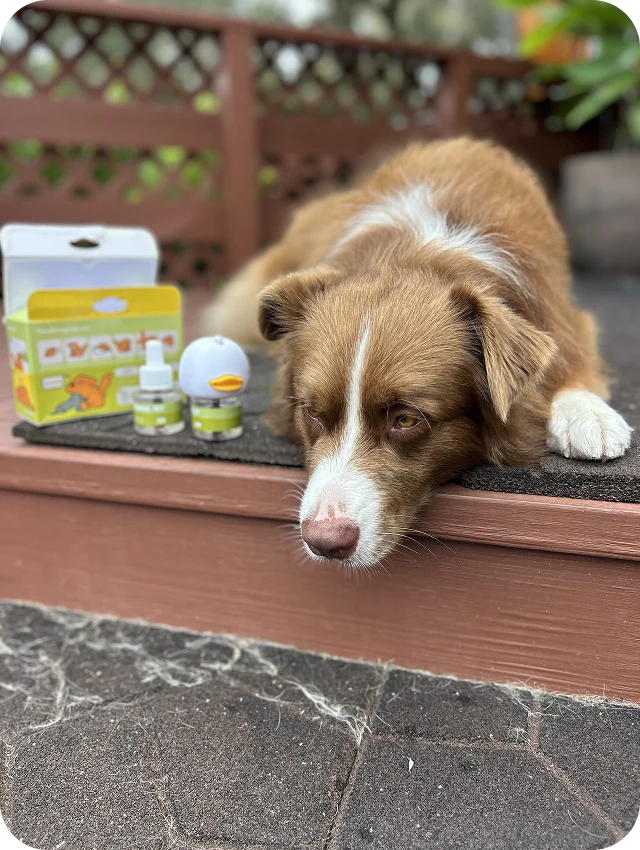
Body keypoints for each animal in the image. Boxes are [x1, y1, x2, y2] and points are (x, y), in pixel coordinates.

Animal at [208, 138, 632, 568]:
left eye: (407, 420)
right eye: (311, 412)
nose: (324, 542)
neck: (413, 255)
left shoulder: (564, 319)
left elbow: (568, 357)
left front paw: (586, 413)